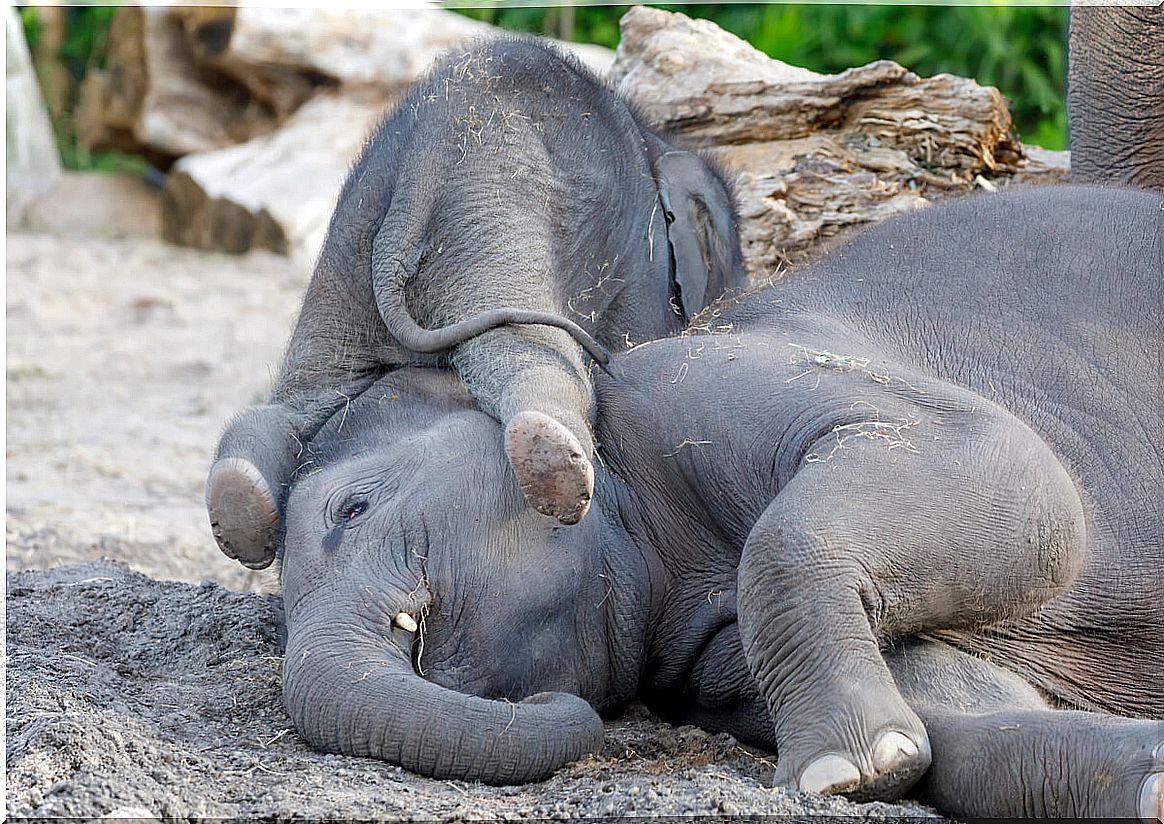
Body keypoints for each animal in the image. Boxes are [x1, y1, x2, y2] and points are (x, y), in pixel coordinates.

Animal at [204, 35, 740, 570]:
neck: (657, 141)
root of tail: (422, 160)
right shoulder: (639, 258)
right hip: (494, 226)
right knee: (525, 357)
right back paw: (557, 466)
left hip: (349, 244)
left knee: (306, 394)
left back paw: (239, 500)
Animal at [274, 183, 1164, 819]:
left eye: (350, 510)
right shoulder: (706, 659)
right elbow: (959, 711)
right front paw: (884, 761)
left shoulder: (702, 384)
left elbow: (1018, 475)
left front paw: (843, 769)